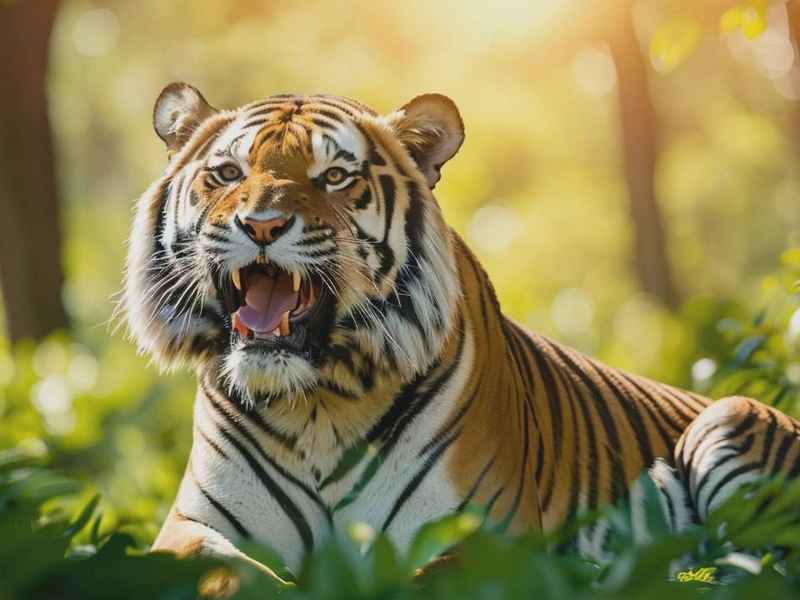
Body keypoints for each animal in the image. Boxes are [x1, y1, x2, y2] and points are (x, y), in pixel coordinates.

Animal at [124, 82, 800, 575]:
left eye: (334, 177)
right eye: (227, 174)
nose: (261, 225)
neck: (317, 404)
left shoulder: (484, 537)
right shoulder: (192, 528)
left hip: (727, 420)